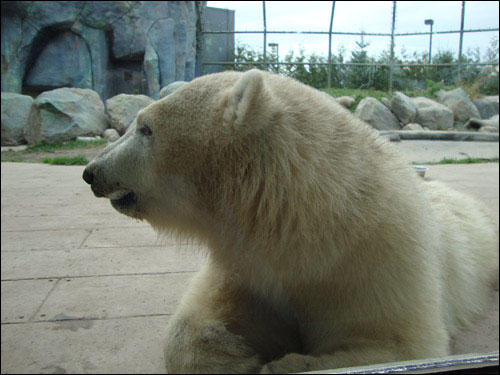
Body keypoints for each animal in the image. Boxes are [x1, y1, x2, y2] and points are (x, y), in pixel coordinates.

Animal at [84, 70, 498, 374]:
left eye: (146, 128)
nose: (91, 171)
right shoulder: (254, 263)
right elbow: (208, 309)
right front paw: (233, 351)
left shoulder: (376, 261)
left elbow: (403, 343)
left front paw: (281, 362)